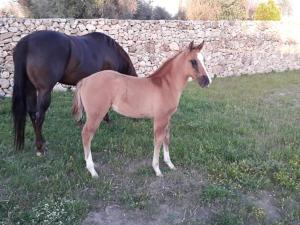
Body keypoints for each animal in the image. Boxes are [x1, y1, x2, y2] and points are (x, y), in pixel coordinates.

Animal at [73, 41, 212, 177]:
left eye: (204, 60)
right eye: (193, 61)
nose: (207, 81)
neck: (165, 85)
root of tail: (84, 80)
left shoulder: (167, 118)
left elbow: (166, 139)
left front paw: (170, 164)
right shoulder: (160, 119)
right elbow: (158, 141)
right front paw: (157, 169)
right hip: (95, 115)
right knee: (86, 135)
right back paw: (92, 170)